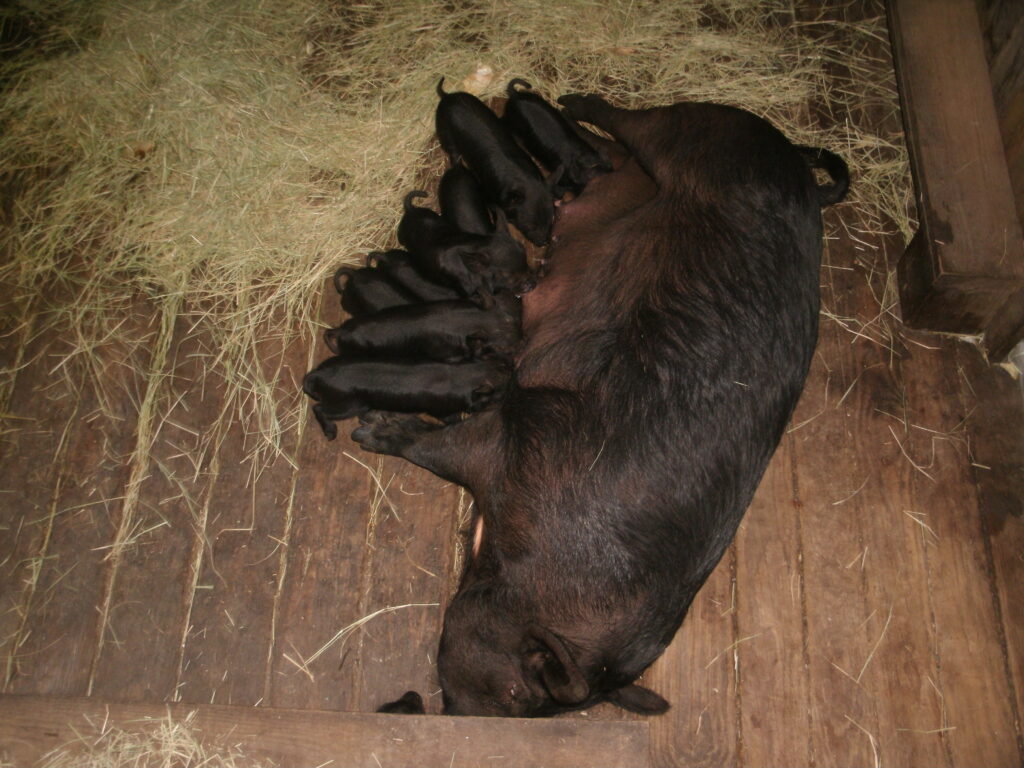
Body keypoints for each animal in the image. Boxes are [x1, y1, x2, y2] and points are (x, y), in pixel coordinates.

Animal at [435, 78, 554, 245]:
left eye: (551, 218)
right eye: (529, 224)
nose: (544, 243)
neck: (524, 182)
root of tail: (446, 97)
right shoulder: (488, 193)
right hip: (445, 133)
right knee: (453, 153)